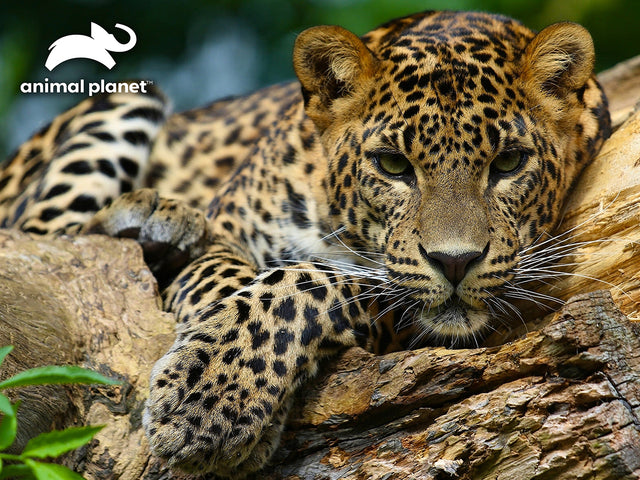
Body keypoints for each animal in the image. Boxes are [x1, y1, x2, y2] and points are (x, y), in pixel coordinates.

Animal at [0, 10, 610, 478]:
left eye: (509, 163)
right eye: (393, 165)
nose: (455, 262)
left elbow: (307, 283)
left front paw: (212, 401)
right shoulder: (224, 230)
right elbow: (234, 283)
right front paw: (212, 391)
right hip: (123, 103)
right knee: (39, 237)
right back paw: (150, 216)